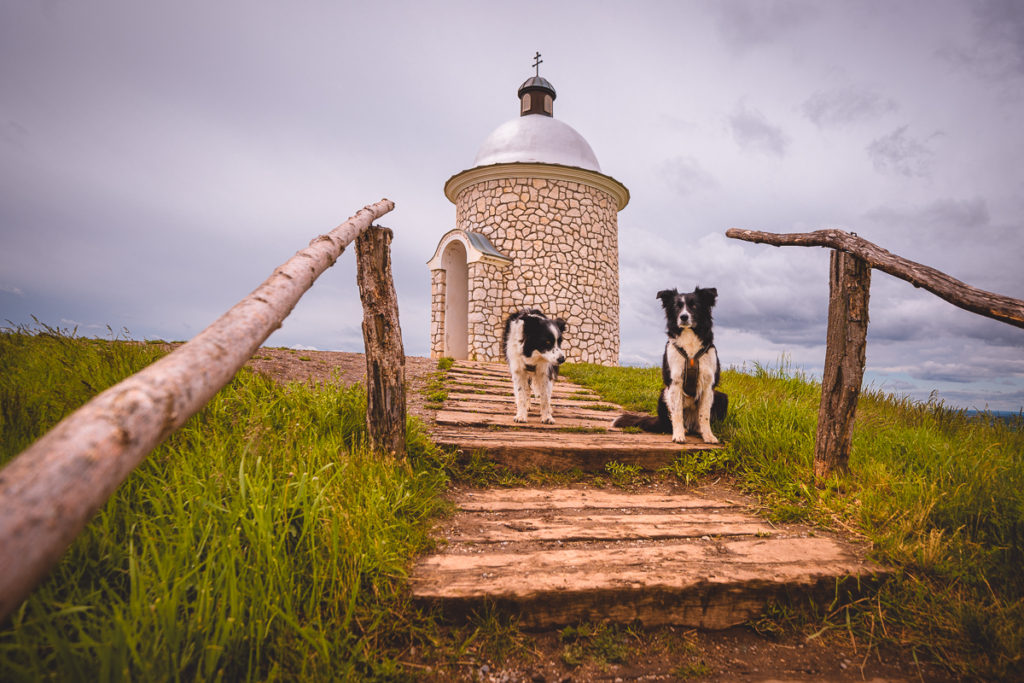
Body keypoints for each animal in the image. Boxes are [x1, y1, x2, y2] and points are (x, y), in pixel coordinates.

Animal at [610, 286, 724, 444]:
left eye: (694, 305)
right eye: (677, 306)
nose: (683, 317)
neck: (689, 338)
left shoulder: (708, 385)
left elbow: (705, 415)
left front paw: (708, 436)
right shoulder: (675, 382)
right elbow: (677, 413)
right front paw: (678, 435)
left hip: (721, 396)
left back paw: (698, 430)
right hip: (663, 394)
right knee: (669, 422)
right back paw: (683, 430)